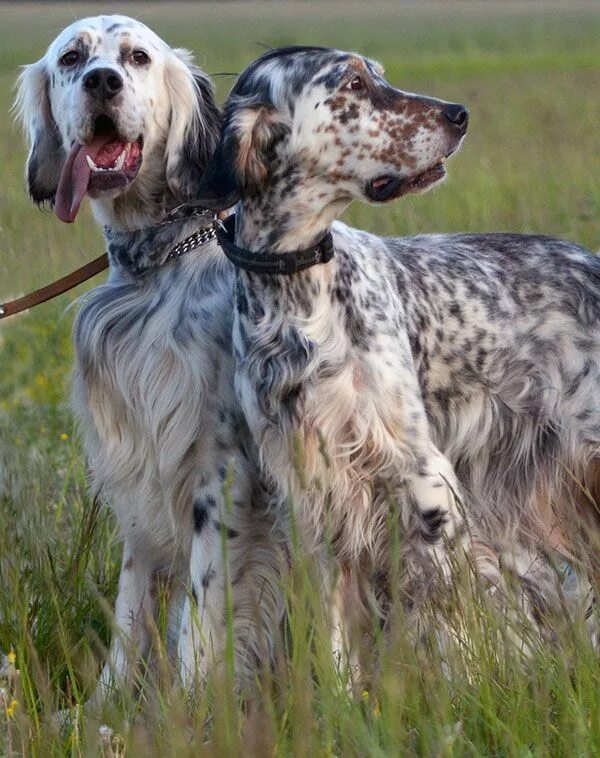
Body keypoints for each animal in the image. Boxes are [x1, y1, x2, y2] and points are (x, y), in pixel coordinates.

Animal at [14, 13, 286, 700]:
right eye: (72, 58)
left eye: (137, 57)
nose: (102, 82)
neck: (158, 266)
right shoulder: (138, 462)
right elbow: (131, 601)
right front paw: (106, 700)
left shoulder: (217, 470)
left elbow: (203, 601)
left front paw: (191, 701)